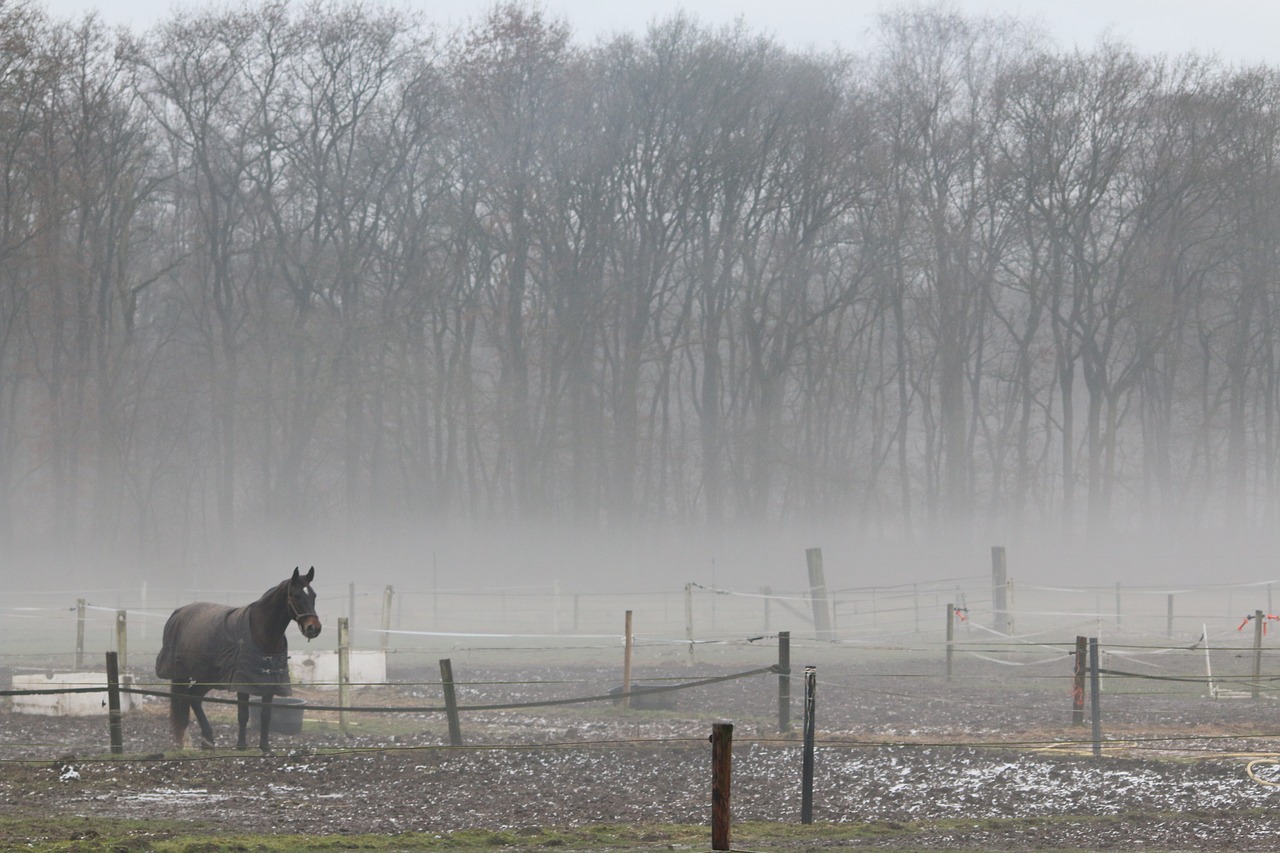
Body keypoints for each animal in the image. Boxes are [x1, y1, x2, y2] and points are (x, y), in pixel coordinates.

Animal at [156, 568, 322, 747]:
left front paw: (265, 747)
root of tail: (178, 613)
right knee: (188, 699)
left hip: (209, 677)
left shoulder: (269, 682)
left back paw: (208, 740)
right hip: (190, 674)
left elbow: (266, 715)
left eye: (313, 595)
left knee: (193, 697)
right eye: (296, 595)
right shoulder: (242, 681)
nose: (314, 628)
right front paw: (241, 746)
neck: (262, 630)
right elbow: (243, 715)